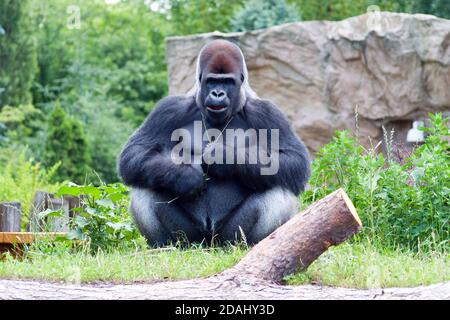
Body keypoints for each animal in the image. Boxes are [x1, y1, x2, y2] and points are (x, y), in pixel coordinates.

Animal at [118, 39, 312, 245]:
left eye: (227, 82)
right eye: (212, 80)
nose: (217, 93)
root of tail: (209, 242)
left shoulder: (267, 112)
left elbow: (294, 160)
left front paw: (222, 157)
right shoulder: (169, 109)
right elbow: (136, 152)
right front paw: (185, 176)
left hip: (228, 236)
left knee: (277, 186)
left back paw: (260, 243)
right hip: (192, 238)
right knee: (146, 184)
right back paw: (164, 244)